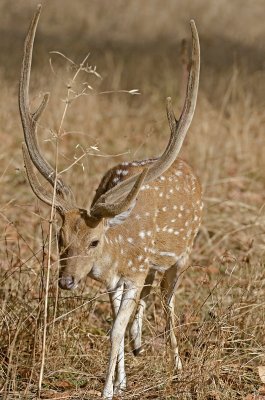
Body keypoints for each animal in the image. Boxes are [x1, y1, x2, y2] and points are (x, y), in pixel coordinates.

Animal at [19, 4, 201, 398]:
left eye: (94, 240)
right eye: (60, 239)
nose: (66, 281)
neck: (117, 251)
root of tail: (186, 165)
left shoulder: (134, 269)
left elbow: (116, 327)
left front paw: (108, 390)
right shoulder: (116, 278)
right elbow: (116, 322)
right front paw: (120, 380)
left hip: (183, 252)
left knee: (167, 300)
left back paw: (178, 368)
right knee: (148, 300)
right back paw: (140, 345)